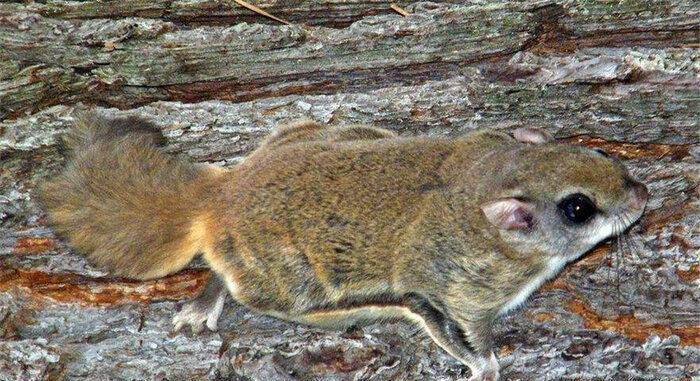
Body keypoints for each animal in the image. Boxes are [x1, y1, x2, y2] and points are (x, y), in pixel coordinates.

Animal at [41, 113, 648, 380]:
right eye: (578, 209)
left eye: (599, 156)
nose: (643, 195)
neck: (482, 184)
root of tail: (217, 197)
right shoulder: (457, 294)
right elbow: (464, 336)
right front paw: (486, 366)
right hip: (286, 283)